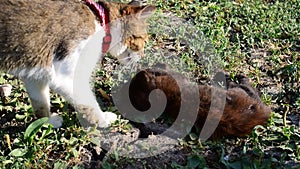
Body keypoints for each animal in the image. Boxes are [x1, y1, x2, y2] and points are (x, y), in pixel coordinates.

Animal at [0, 0, 155, 127]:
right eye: (144, 40)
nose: (142, 56)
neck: (99, 21)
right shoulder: (64, 76)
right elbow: (89, 103)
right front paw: (102, 120)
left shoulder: (35, 74)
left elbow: (40, 102)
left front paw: (47, 121)